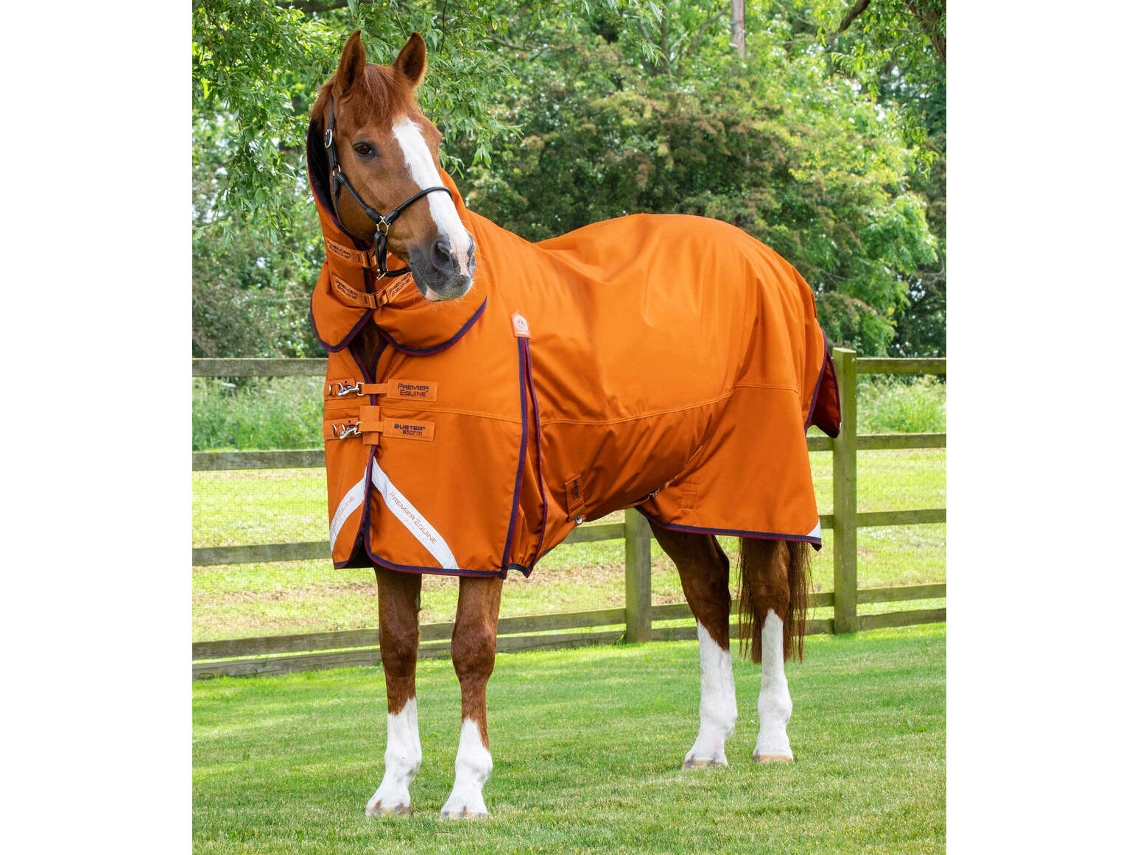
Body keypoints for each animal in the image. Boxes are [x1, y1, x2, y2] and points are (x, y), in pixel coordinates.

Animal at [304, 30, 841, 820]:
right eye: (366, 145)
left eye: (432, 137)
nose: (451, 259)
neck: (392, 342)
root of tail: (776, 267)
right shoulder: (389, 530)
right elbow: (397, 645)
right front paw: (393, 788)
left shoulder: (482, 528)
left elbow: (471, 646)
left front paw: (466, 790)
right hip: (673, 490)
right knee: (709, 588)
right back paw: (708, 744)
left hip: (757, 483)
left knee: (768, 594)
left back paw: (772, 739)